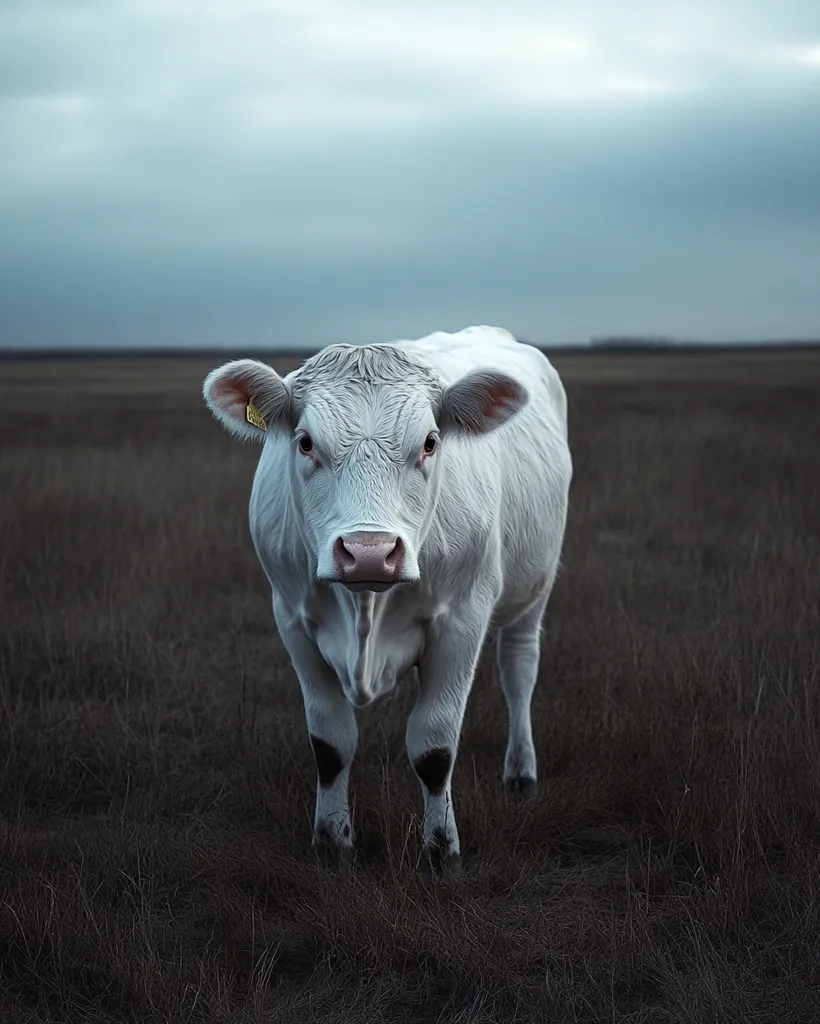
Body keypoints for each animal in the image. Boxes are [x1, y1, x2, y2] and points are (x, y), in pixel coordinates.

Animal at [202, 325, 572, 878]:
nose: (369, 553)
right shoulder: (292, 619)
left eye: (430, 442)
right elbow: (330, 742)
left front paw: (441, 852)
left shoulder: (462, 620)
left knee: (519, 670)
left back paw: (521, 773)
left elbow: (435, 746)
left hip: (534, 589)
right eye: (305, 442)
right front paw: (332, 843)